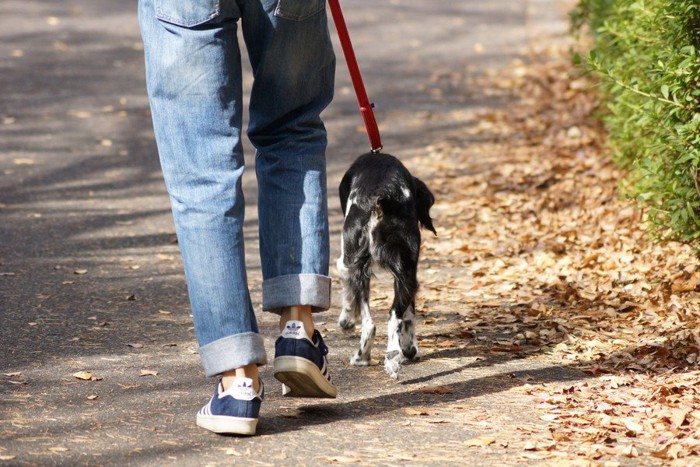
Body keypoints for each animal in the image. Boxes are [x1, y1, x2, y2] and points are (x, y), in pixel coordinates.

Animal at [336, 154, 434, 380]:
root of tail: (382, 195)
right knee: (393, 316)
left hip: (355, 263)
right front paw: (410, 349)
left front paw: (346, 320)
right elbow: (409, 315)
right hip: (406, 272)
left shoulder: (345, 262)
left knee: (371, 324)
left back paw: (362, 358)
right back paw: (394, 357)